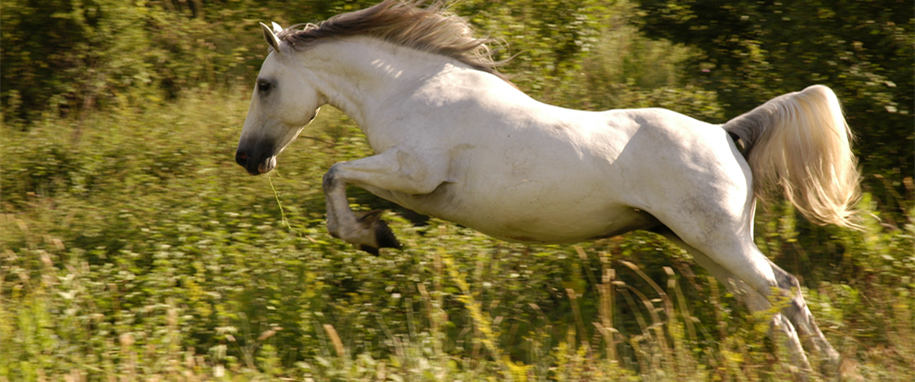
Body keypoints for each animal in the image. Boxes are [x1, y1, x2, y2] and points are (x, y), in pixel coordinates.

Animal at [234, 0, 860, 374]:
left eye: (265, 85)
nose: (247, 158)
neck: (414, 90)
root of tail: (726, 133)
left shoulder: (414, 171)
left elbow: (335, 172)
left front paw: (369, 235)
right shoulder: (410, 184)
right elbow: (347, 182)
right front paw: (378, 231)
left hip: (720, 242)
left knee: (787, 290)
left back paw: (830, 365)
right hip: (705, 246)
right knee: (767, 305)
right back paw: (798, 367)